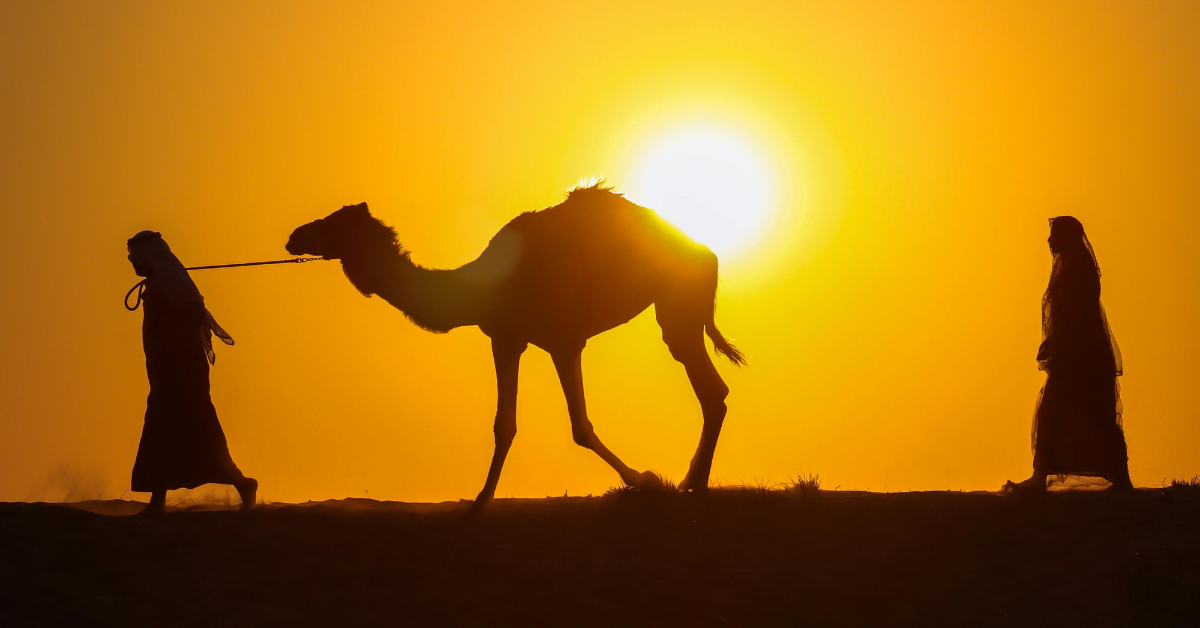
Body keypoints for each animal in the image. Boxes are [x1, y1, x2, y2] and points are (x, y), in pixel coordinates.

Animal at [286, 182, 744, 507]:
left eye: (334, 223)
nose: (293, 236)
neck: (477, 288)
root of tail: (707, 253)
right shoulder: (506, 338)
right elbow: (503, 424)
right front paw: (478, 503)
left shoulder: (563, 340)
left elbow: (579, 425)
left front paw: (646, 480)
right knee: (712, 389)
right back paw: (692, 482)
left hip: (677, 302)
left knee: (709, 387)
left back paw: (692, 484)